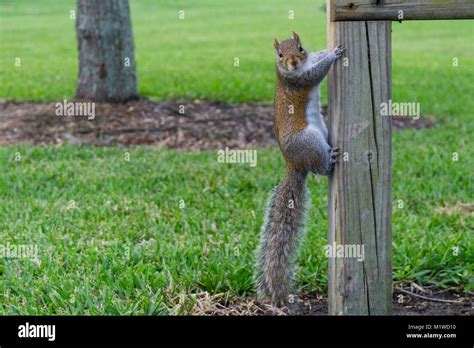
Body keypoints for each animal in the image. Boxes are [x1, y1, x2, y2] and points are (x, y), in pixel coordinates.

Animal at [256, 31, 344, 306]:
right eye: (280, 54)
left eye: (300, 48)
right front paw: (334, 55)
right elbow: (317, 73)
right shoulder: (300, 80)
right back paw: (331, 159)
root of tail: (295, 165)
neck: (296, 70)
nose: (293, 62)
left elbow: (316, 59)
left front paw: (325, 51)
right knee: (321, 169)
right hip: (310, 141)